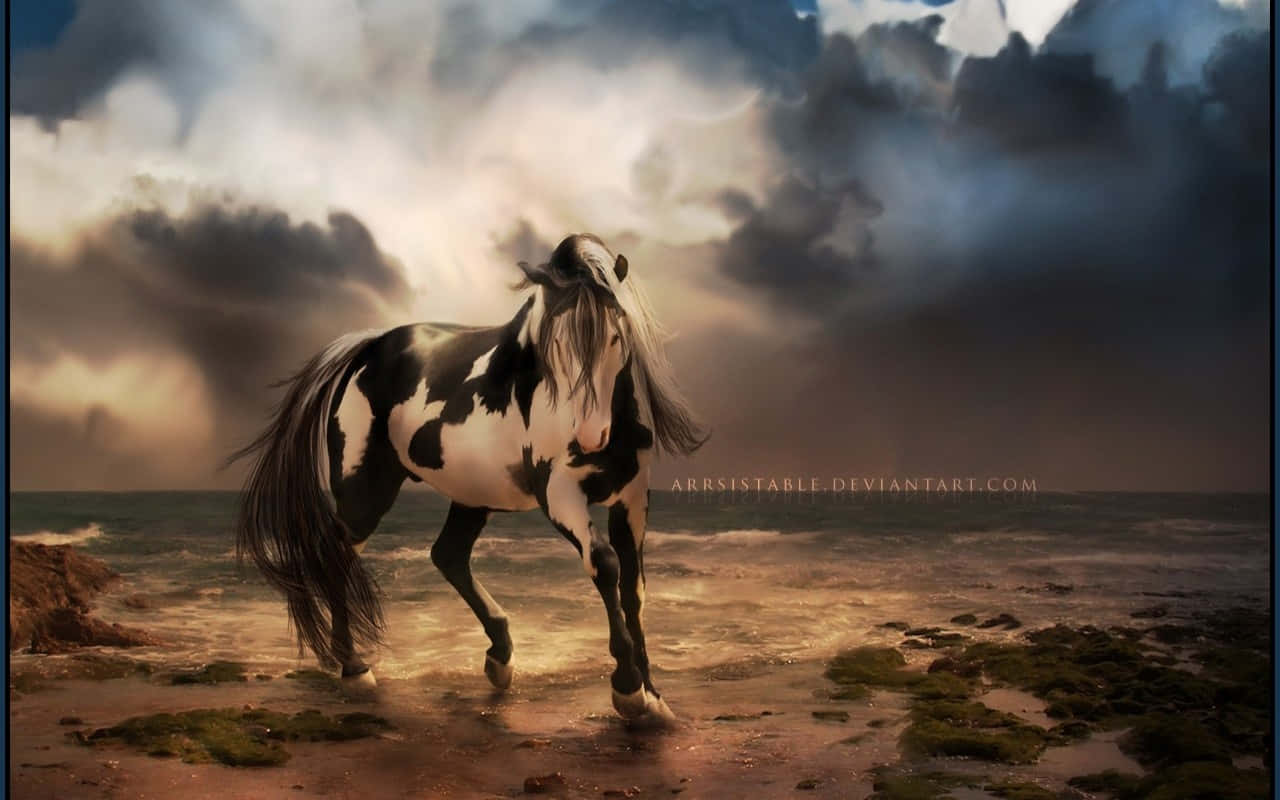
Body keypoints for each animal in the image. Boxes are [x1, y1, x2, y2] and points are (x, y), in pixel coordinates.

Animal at [232, 233, 705, 722]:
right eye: (552, 347)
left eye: (616, 335)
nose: (590, 437)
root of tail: (370, 347)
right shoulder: (560, 496)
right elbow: (606, 565)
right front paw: (628, 689)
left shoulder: (632, 498)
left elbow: (634, 588)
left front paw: (654, 695)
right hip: (366, 491)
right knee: (340, 555)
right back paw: (355, 668)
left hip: (471, 494)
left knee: (448, 555)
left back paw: (499, 658)